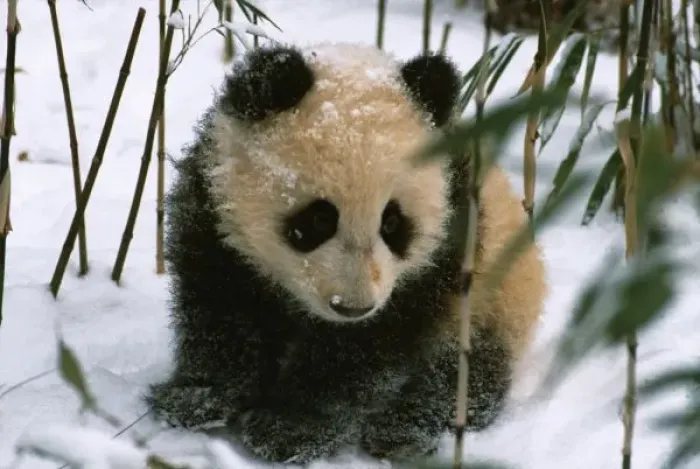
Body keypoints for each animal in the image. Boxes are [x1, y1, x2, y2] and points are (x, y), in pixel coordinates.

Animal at [147, 42, 547, 464]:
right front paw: (198, 397)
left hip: (495, 296)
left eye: (393, 223)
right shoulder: (217, 220)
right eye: (320, 218)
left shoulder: (444, 251)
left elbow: (366, 349)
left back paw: (404, 427)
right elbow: (221, 310)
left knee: (463, 372)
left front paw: (291, 427)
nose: (352, 308)